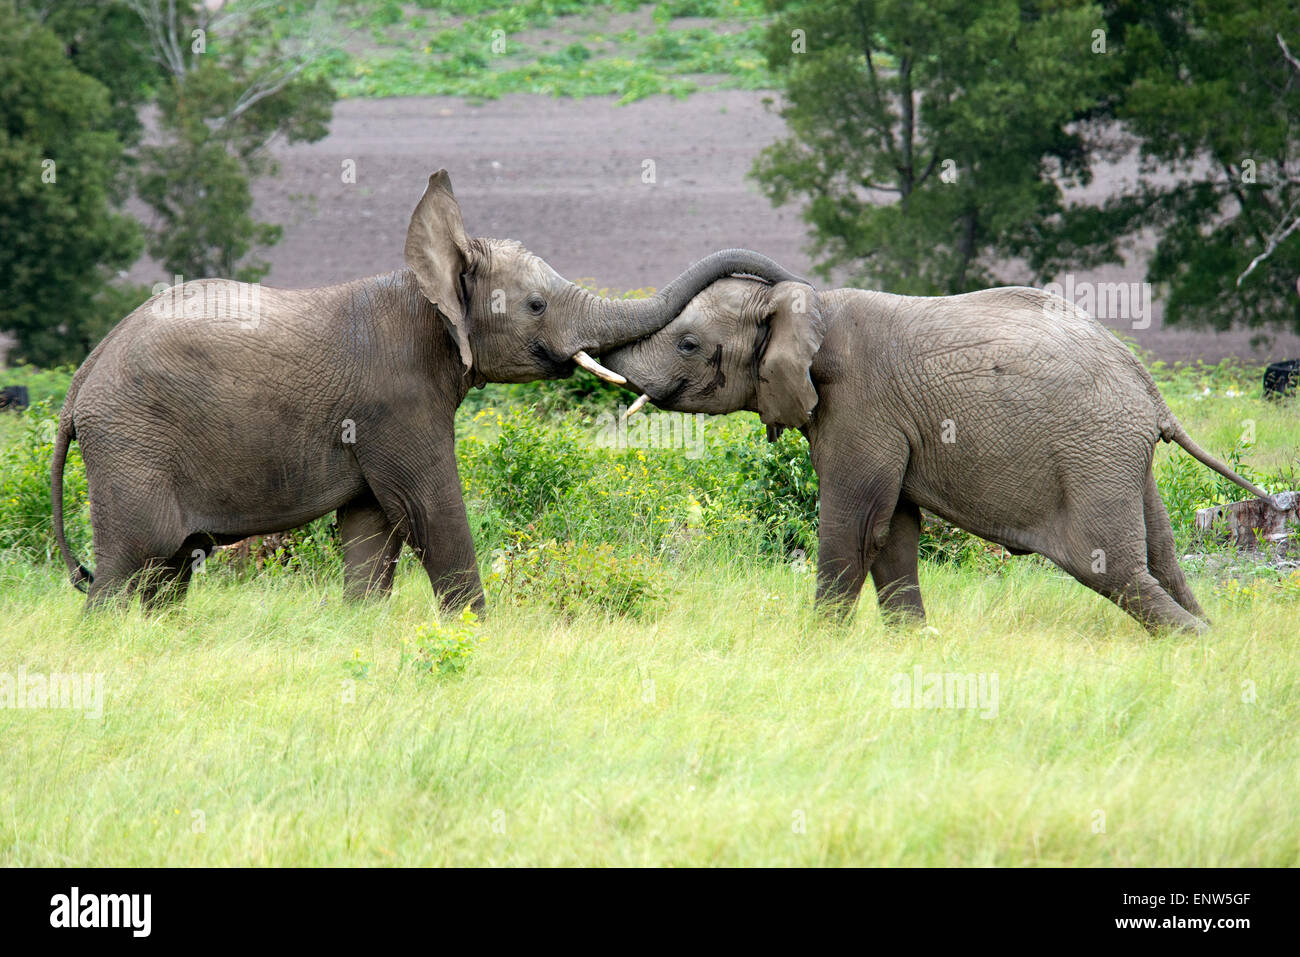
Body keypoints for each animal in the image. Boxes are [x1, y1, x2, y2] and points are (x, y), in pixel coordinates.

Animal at [50, 170, 805, 612]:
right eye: (536, 305)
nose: (774, 283)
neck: (426, 289)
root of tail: (83, 378)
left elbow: (369, 533)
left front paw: (361, 626)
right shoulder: (397, 399)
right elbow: (429, 506)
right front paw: (475, 627)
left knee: (167, 576)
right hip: (132, 442)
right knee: (130, 567)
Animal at [598, 279, 1280, 633]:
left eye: (688, 344)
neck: (809, 305)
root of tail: (1150, 389)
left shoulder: (860, 406)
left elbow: (854, 524)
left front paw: (815, 647)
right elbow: (894, 531)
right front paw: (914, 644)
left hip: (1094, 448)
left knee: (1112, 568)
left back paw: (1195, 646)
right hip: (1125, 460)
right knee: (1164, 560)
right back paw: (1213, 638)